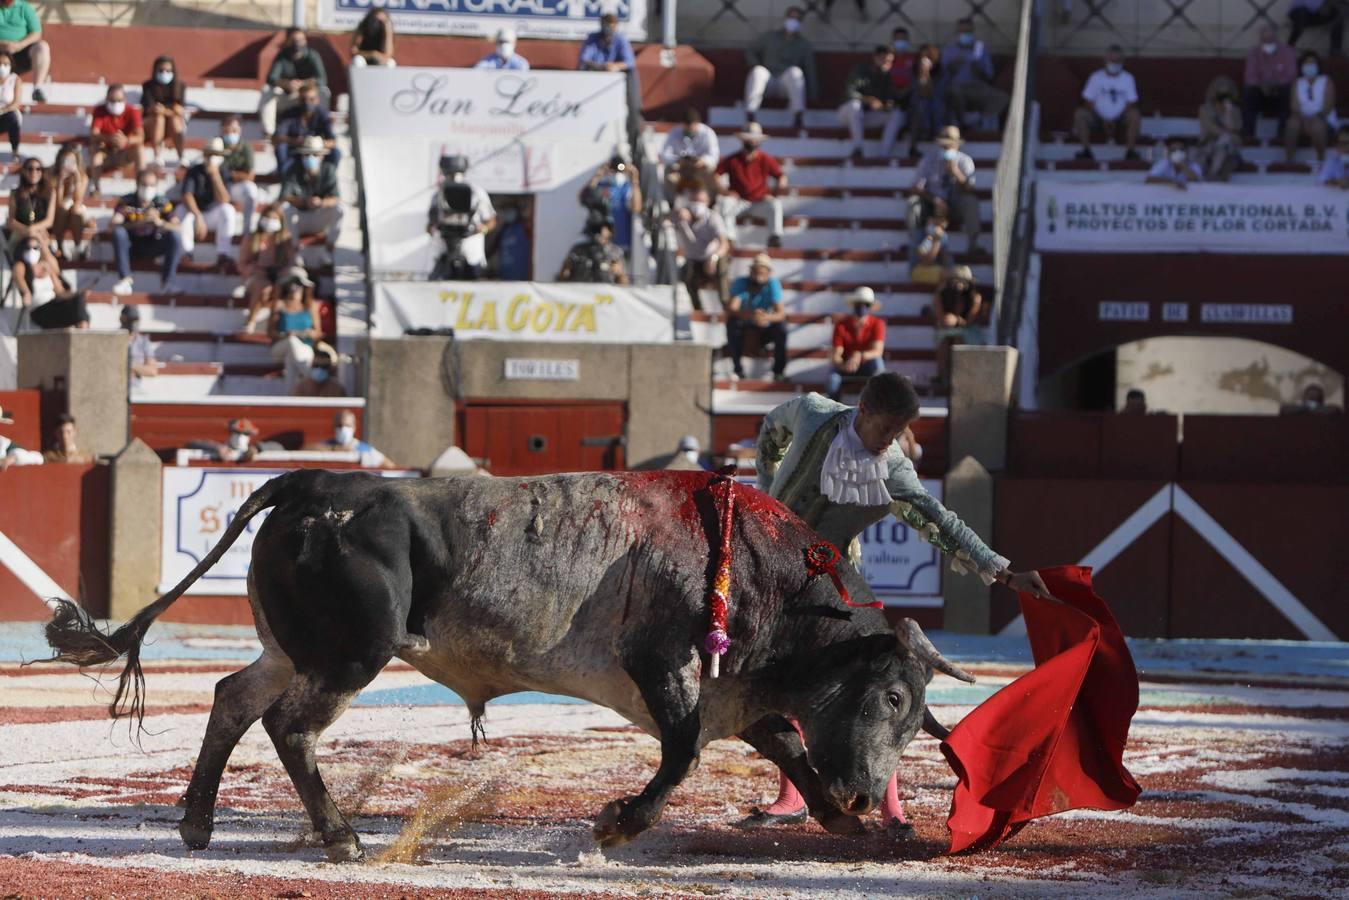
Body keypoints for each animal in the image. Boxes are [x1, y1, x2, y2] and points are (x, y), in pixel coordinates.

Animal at [42, 469, 971, 863]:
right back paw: (340, 836)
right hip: (352, 654)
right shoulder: (663, 665)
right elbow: (681, 755)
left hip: (292, 647)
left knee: (234, 698)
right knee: (287, 725)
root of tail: (310, 484)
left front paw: (842, 819)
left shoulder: (732, 690)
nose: (867, 793)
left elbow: (781, 743)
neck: (755, 570)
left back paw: (199, 822)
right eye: (892, 696)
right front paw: (617, 825)